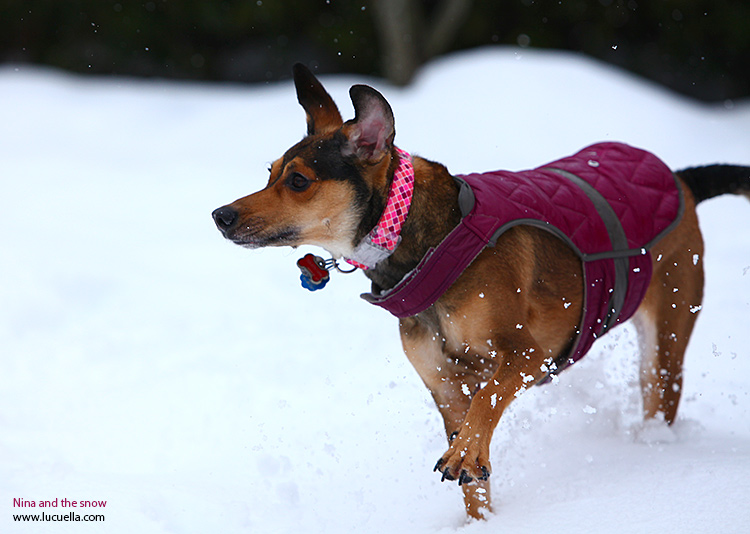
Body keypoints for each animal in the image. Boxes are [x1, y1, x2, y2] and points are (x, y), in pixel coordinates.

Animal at [212, 65, 750, 520]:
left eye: (299, 180)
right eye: (269, 173)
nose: (220, 215)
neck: (425, 241)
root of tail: (680, 180)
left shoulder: (526, 353)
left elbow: (488, 402)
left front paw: (467, 453)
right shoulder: (445, 386)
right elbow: (473, 467)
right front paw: (481, 519)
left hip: (667, 335)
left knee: (660, 395)